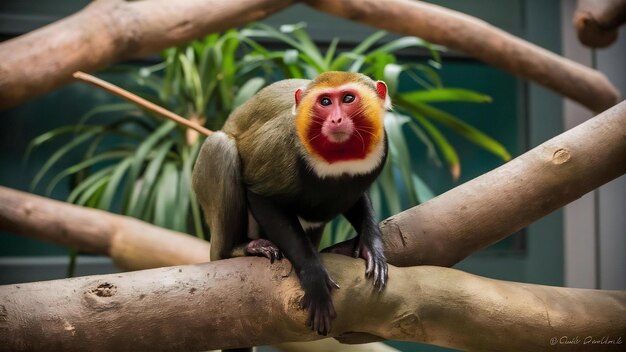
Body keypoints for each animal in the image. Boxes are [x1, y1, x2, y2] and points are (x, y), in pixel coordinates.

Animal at [191, 71, 390, 336]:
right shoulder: (280, 148)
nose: (336, 119)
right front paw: (313, 276)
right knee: (220, 147)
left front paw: (371, 245)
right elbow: (261, 196)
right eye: (325, 102)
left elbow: (357, 197)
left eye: (348, 98)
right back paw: (238, 248)